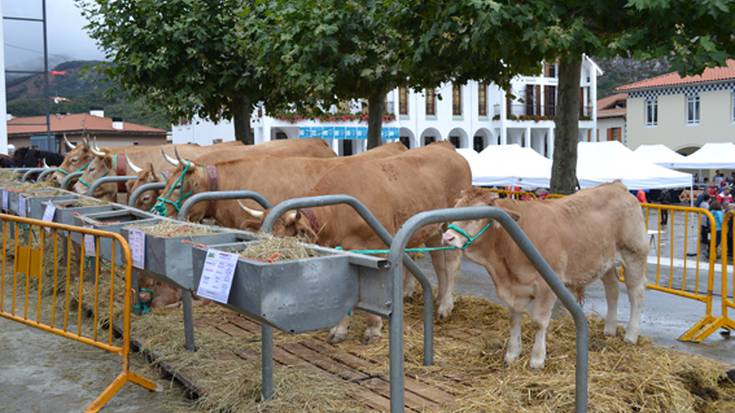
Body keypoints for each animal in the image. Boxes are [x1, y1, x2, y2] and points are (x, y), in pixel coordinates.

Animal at [239, 142, 472, 344]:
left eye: (284, 242)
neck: (338, 214)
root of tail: (443, 145)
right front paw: (339, 330)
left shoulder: (377, 248)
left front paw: (373, 329)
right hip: (432, 229)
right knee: (438, 261)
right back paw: (439, 298)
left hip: (450, 222)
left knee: (451, 261)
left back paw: (445, 306)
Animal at [440, 182, 648, 368]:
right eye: (456, 208)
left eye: (478, 216)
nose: (447, 237)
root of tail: (616, 185)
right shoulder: (514, 289)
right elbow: (514, 319)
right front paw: (512, 354)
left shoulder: (546, 287)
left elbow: (539, 323)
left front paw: (537, 359)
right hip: (605, 263)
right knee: (612, 291)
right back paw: (610, 329)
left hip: (634, 254)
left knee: (636, 294)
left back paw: (631, 335)